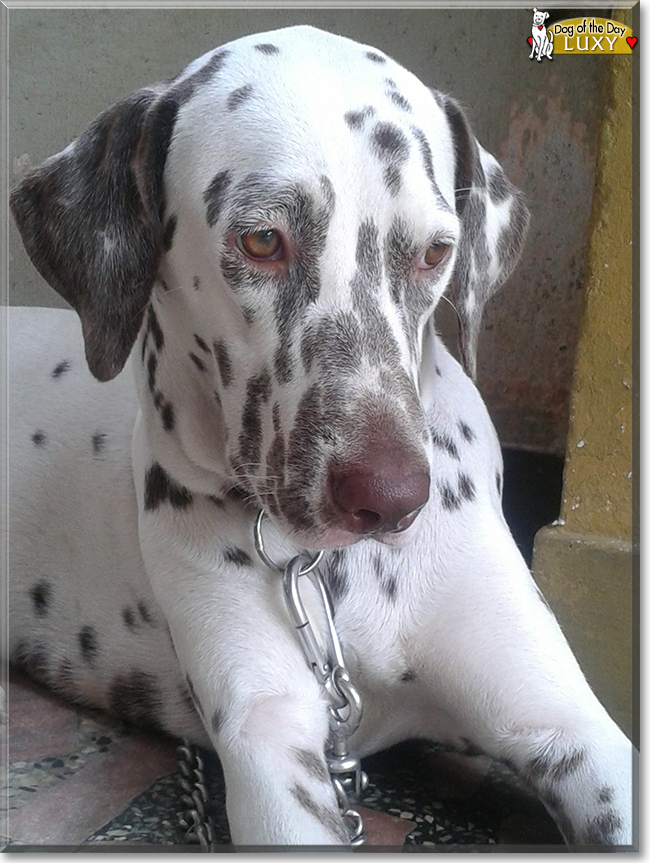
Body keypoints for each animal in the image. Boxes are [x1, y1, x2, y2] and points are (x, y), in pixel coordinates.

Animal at [7, 25, 632, 844]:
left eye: (436, 252)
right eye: (262, 239)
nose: (390, 497)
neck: (335, 577)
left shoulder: (565, 723)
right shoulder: (272, 745)